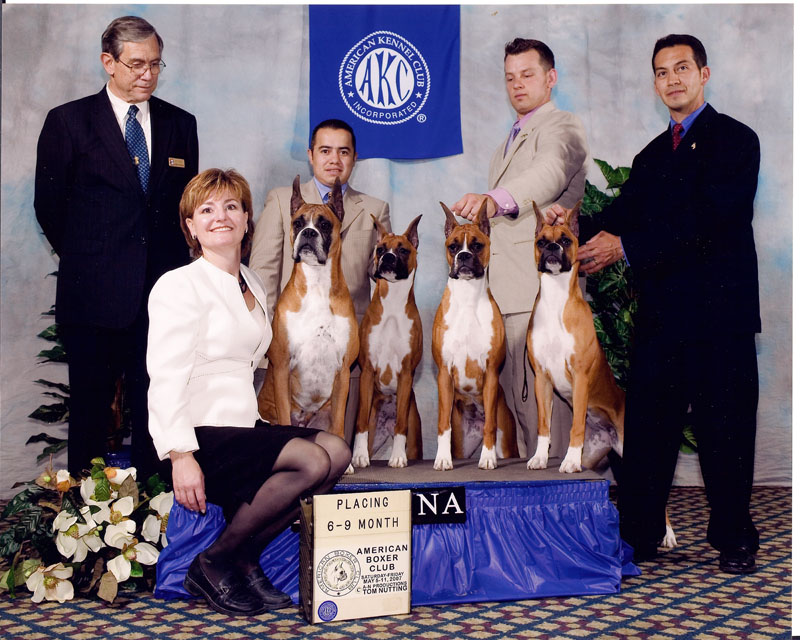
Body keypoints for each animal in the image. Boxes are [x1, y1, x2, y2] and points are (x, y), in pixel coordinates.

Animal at [432, 200, 520, 470]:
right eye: (453, 246)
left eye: (477, 245)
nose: (464, 256)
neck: (467, 299)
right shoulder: (443, 374)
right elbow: (442, 425)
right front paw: (442, 459)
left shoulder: (490, 372)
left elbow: (490, 425)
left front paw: (488, 458)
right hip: (462, 442)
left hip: (508, 442)